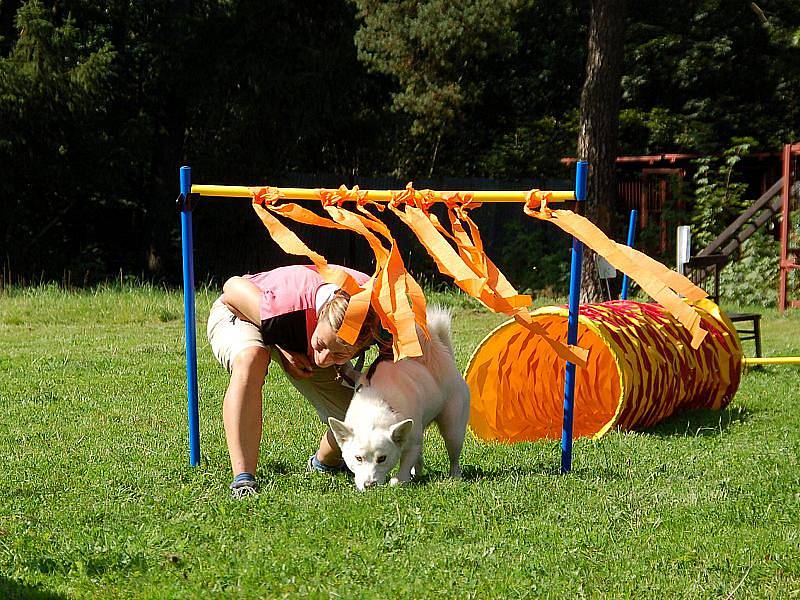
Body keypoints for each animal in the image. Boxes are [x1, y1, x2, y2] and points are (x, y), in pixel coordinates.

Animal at [330, 308, 472, 490]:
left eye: (382, 458)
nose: (369, 485)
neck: (376, 405)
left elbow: (405, 463)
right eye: (358, 458)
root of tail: (446, 358)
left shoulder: (413, 444)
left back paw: (454, 476)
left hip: (453, 429)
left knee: (453, 454)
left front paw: (399, 480)